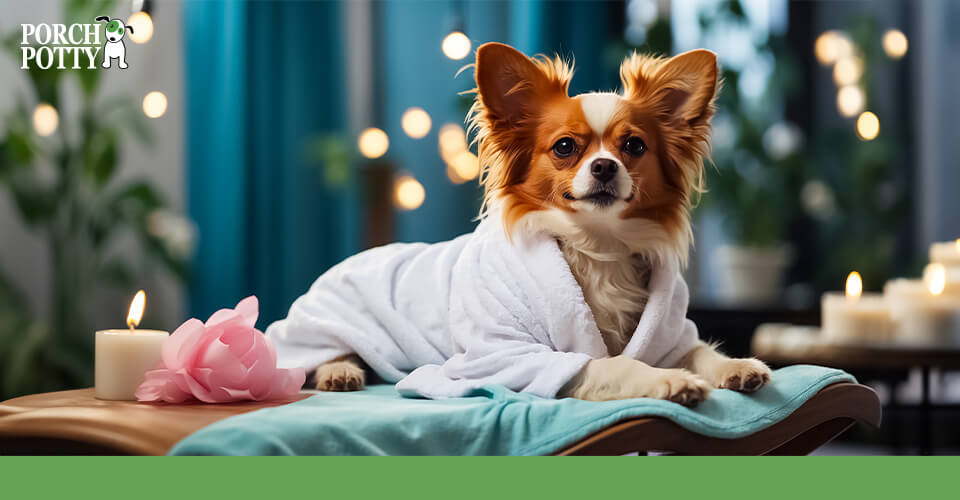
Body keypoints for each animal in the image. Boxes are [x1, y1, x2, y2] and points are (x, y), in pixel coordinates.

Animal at [312, 43, 768, 406]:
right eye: (565, 147)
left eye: (635, 146)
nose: (605, 166)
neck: (597, 244)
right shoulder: (509, 356)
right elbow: (613, 365)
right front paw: (670, 380)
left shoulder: (668, 336)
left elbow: (699, 350)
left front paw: (735, 365)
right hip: (330, 326)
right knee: (326, 353)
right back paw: (339, 372)